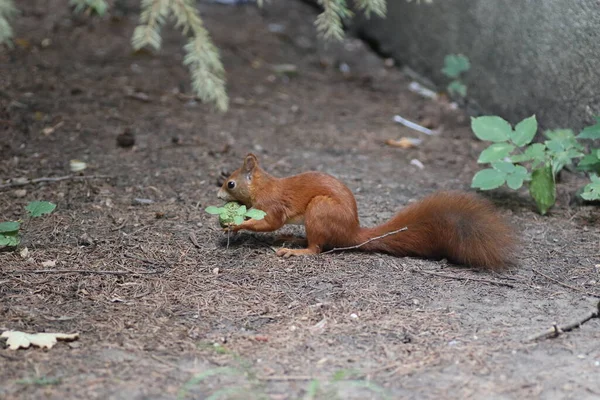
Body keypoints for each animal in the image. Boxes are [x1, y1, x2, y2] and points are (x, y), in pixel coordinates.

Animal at [216, 155, 516, 270]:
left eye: (230, 183)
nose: (218, 196)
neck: (263, 186)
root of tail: (353, 231)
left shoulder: (273, 206)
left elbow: (269, 223)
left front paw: (235, 225)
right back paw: (293, 239)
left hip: (320, 210)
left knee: (317, 248)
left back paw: (295, 250)